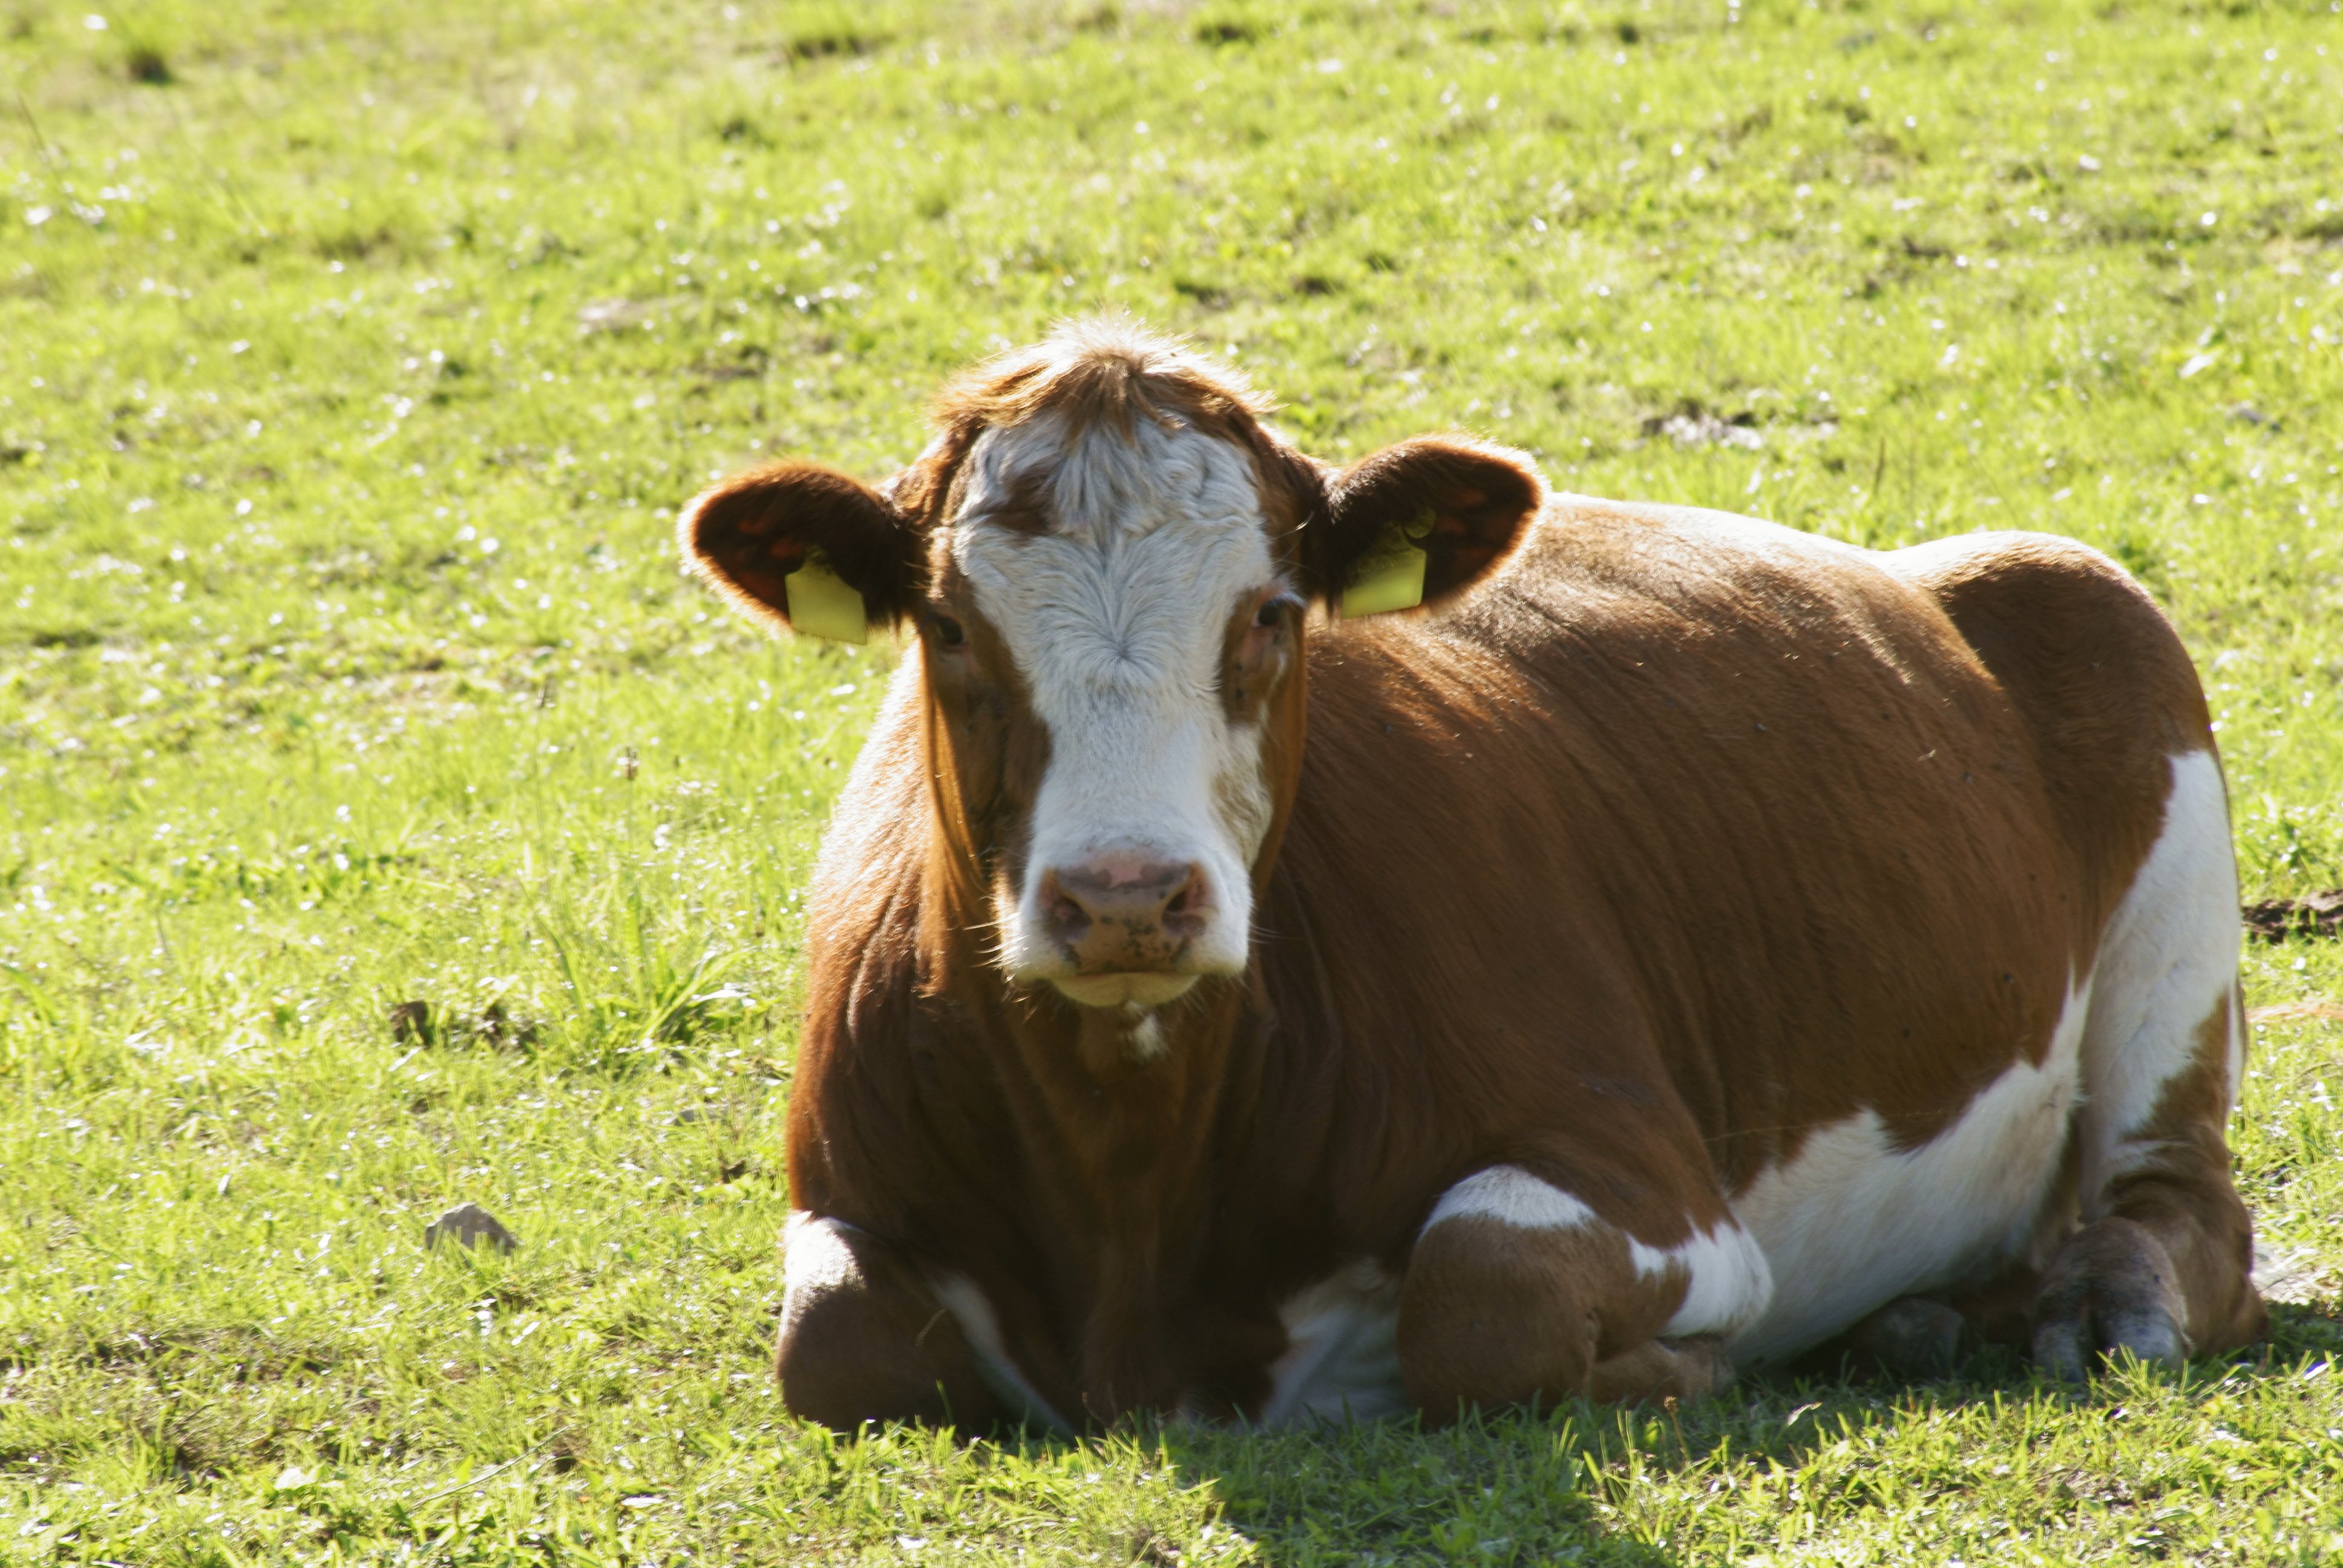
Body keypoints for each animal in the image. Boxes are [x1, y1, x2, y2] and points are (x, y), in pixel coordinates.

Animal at [679, 318, 2268, 1434]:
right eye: (948, 626)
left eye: (1271, 613)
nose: (1126, 896)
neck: (1133, 1193)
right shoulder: (846, 1191)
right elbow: (833, 1347)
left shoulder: (1654, 1180)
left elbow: (1479, 1292)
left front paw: (1694, 1375)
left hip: (2134, 742)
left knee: (2182, 1206)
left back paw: (2081, 1305)